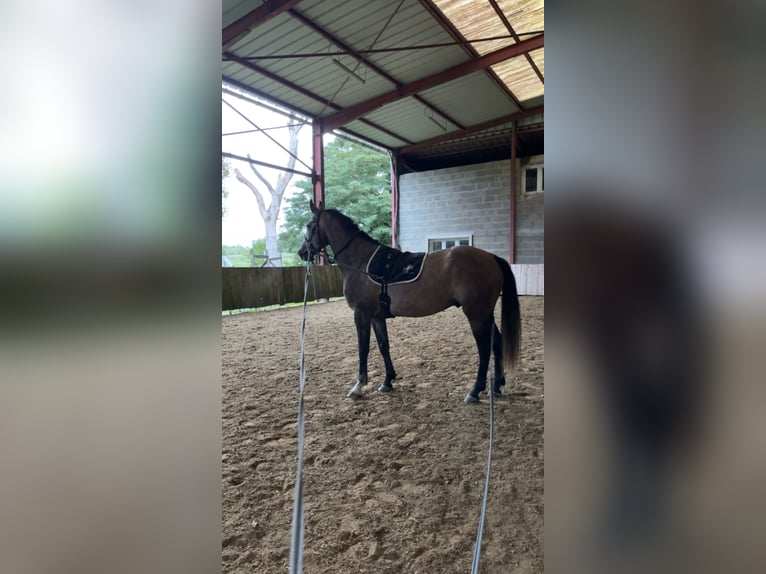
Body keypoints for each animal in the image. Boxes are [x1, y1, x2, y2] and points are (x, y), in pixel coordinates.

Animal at [298, 200, 521, 404]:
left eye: (309, 225)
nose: (302, 252)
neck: (360, 262)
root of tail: (491, 257)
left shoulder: (361, 314)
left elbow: (363, 349)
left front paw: (359, 386)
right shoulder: (377, 316)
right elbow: (383, 346)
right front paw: (387, 381)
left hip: (476, 314)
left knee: (484, 348)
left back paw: (474, 392)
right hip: (485, 313)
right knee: (497, 341)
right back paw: (496, 386)